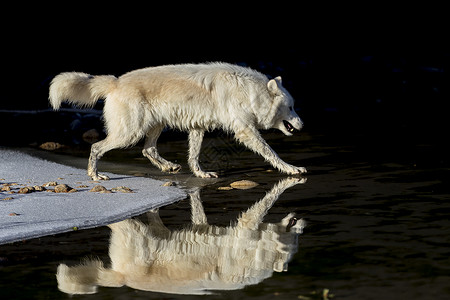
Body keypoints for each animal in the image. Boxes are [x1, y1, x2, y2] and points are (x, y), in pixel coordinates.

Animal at [49, 61, 306, 178]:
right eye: (291, 107)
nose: (303, 124)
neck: (250, 92)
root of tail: (115, 81)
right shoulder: (246, 130)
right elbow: (271, 153)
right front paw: (291, 168)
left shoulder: (198, 128)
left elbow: (194, 156)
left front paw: (201, 174)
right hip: (129, 134)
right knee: (96, 147)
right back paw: (95, 175)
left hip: (155, 126)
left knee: (148, 150)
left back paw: (169, 167)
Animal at [54, 178, 304, 296]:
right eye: (292, 237)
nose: (300, 221)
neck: (258, 257)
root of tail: (121, 276)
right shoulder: (245, 233)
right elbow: (259, 209)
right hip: (135, 234)